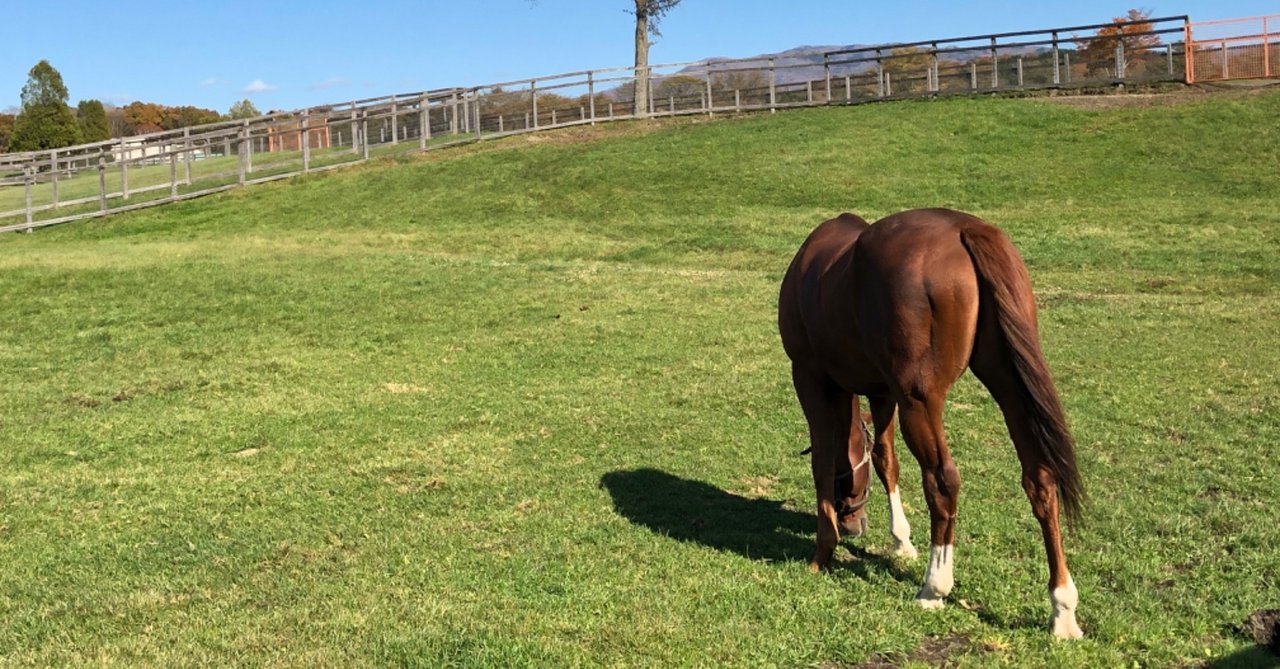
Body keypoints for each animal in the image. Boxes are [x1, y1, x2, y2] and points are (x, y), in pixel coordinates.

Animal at [777, 208, 1085, 639]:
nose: (854, 524)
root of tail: (965, 229)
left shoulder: (810, 377)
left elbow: (823, 459)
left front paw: (824, 550)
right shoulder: (882, 391)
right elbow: (885, 458)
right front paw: (901, 541)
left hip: (920, 403)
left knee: (942, 481)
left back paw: (934, 586)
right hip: (1007, 384)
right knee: (1040, 479)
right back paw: (1062, 607)